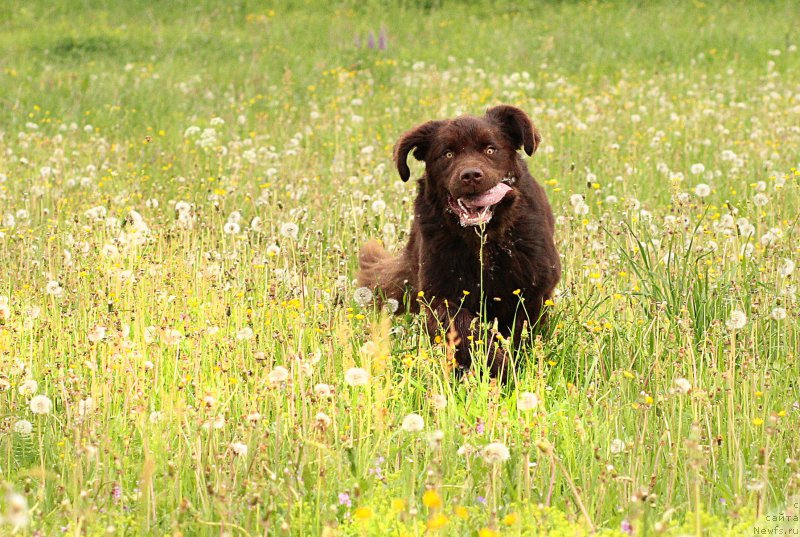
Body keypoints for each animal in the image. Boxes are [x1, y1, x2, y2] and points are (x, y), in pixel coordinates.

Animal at [360, 104, 560, 378]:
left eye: (490, 149)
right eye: (448, 154)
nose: (471, 175)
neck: (484, 242)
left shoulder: (532, 290)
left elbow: (518, 332)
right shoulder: (439, 296)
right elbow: (465, 329)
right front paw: (496, 366)